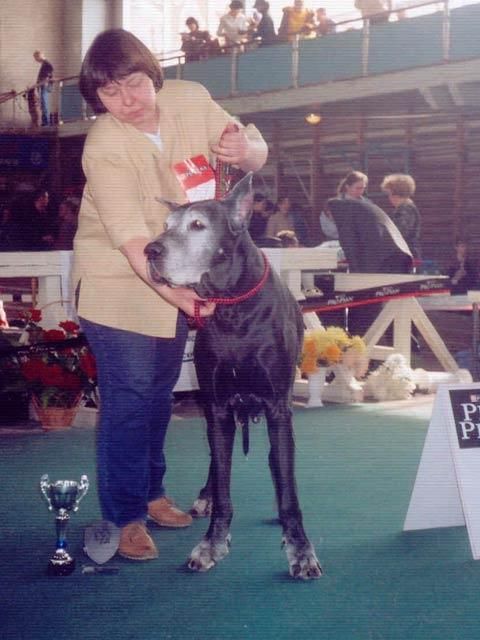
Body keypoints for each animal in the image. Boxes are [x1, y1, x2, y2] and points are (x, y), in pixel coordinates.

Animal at [145, 173, 321, 580]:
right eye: (166, 225)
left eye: (198, 226)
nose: (150, 251)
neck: (232, 307)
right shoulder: (219, 407)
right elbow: (224, 483)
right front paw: (212, 543)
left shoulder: (278, 409)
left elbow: (288, 488)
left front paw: (301, 550)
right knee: (216, 459)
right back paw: (206, 497)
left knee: (277, 461)